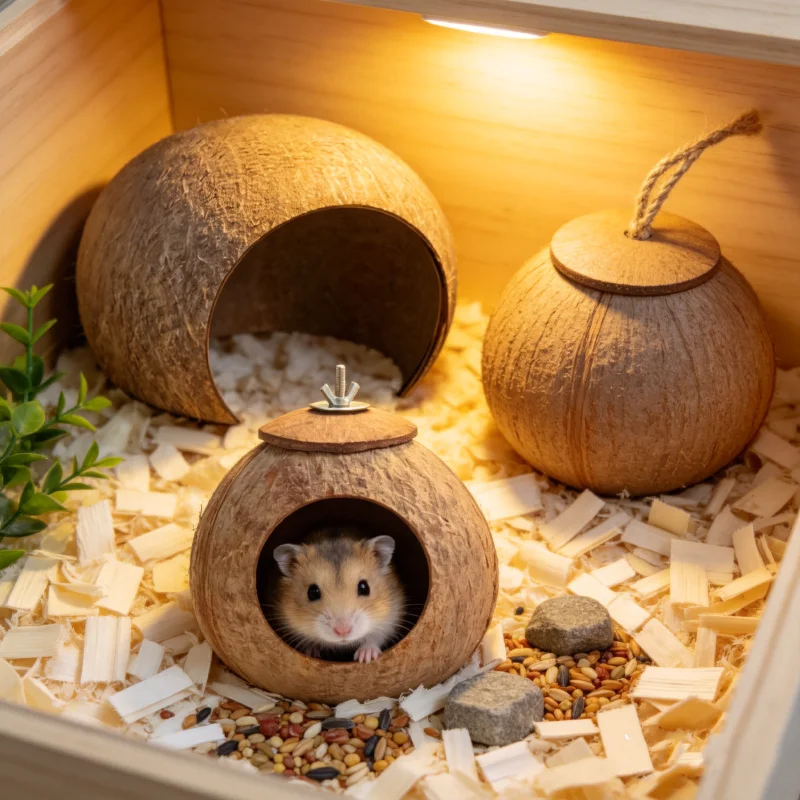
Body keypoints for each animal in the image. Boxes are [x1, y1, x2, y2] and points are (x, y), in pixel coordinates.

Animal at [272, 526, 406, 664]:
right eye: (312, 592)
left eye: (364, 588)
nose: (343, 631)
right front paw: (311, 652)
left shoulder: (392, 617)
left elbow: (375, 637)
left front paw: (365, 658)